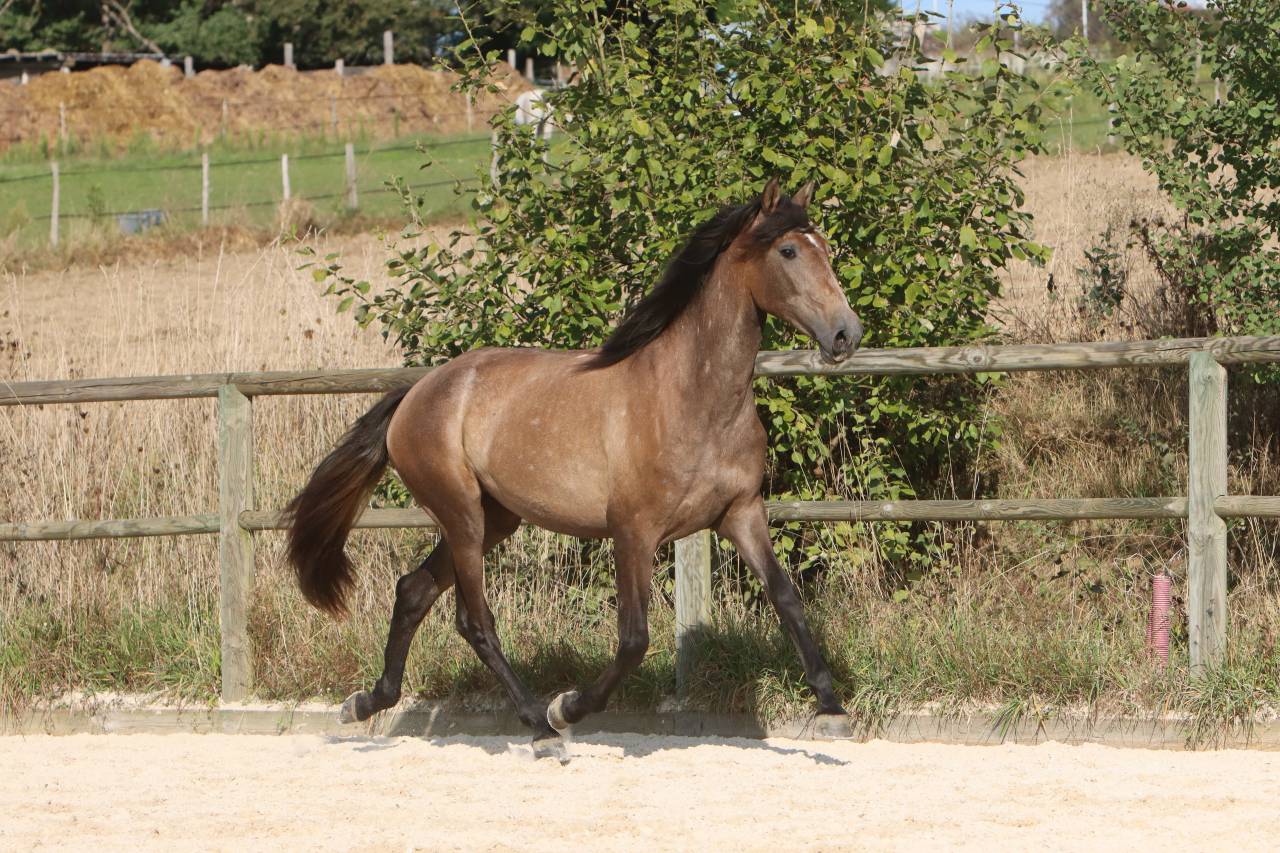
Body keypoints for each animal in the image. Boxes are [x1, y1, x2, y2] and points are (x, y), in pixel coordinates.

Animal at [285, 178, 864, 758]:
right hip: (462, 517)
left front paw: (832, 709)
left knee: (413, 591)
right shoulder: (633, 531)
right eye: (787, 251)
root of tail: (416, 393)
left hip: (495, 519)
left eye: (825, 248)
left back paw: (365, 702)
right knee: (474, 620)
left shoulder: (742, 513)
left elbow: (787, 599)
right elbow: (633, 639)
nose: (846, 335)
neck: (692, 397)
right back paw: (540, 728)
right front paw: (566, 708)